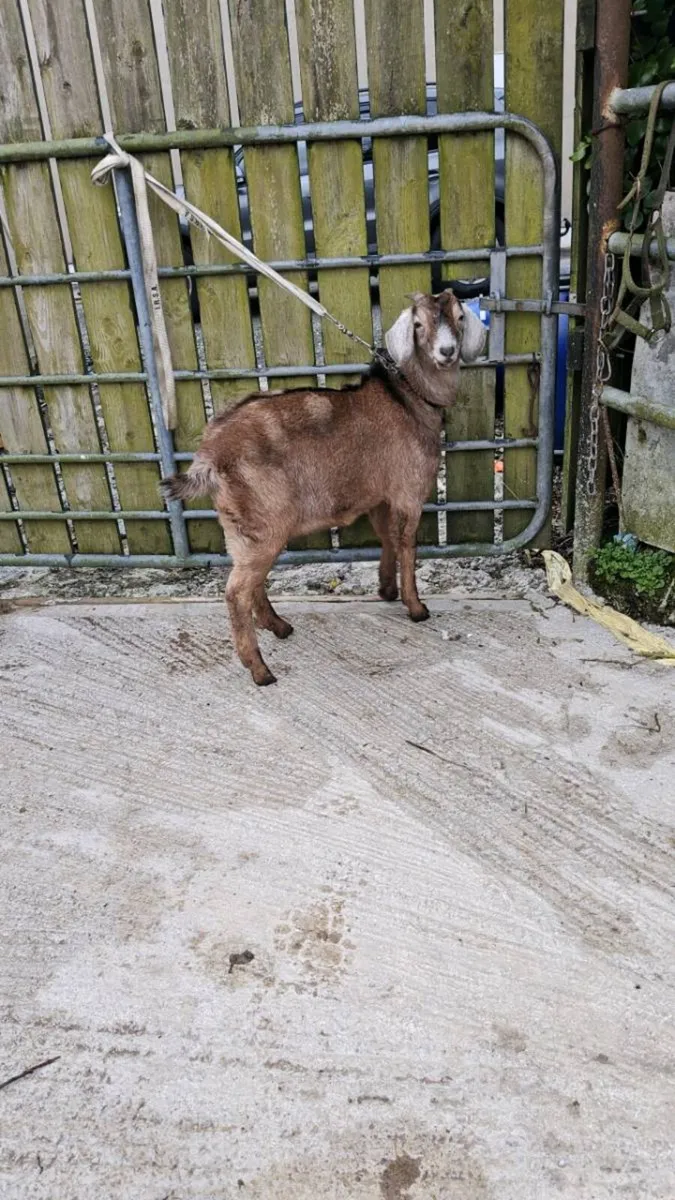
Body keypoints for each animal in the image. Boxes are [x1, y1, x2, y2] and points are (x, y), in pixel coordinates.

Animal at [162, 289, 486, 685]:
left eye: (459, 316)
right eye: (418, 324)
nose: (447, 351)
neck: (406, 399)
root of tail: (210, 455)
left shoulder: (378, 496)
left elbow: (387, 538)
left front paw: (386, 590)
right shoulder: (408, 491)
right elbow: (407, 545)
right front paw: (416, 607)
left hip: (242, 528)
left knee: (249, 580)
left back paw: (279, 626)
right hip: (263, 520)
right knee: (236, 591)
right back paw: (260, 669)